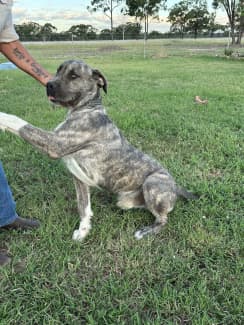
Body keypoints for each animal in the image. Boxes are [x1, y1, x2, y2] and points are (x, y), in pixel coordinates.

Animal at [0, 59, 198, 240]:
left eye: (74, 76)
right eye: (58, 71)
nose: (48, 84)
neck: (86, 108)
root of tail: (176, 187)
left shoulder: (55, 144)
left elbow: (19, 123)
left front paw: (3, 117)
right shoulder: (79, 178)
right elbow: (84, 207)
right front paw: (83, 231)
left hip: (152, 183)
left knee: (163, 219)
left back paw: (146, 231)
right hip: (126, 199)